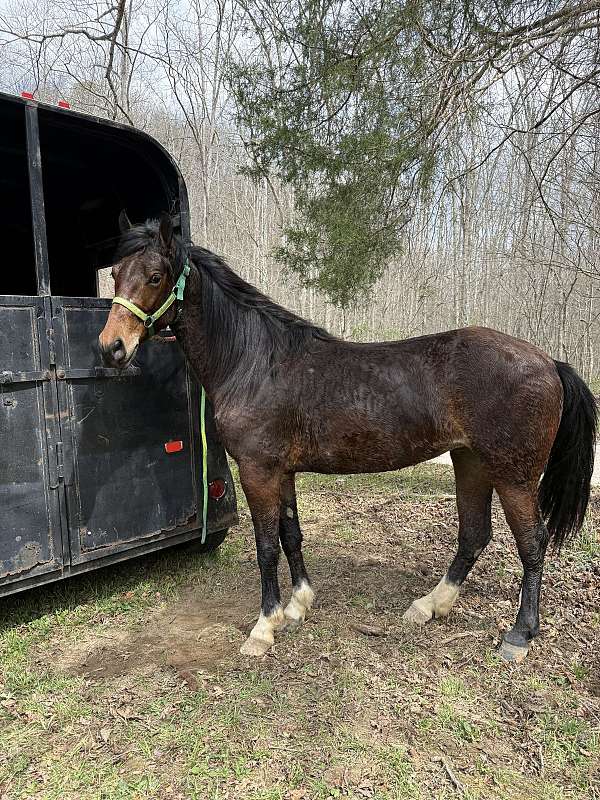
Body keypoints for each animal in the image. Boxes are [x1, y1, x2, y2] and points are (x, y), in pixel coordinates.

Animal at [99, 213, 597, 663]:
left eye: (155, 276)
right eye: (115, 272)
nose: (111, 347)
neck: (254, 362)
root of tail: (549, 362)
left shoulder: (258, 471)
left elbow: (265, 547)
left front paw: (263, 628)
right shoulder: (282, 472)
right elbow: (291, 535)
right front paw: (297, 607)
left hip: (513, 475)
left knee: (532, 544)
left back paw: (520, 634)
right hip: (470, 461)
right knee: (474, 534)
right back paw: (430, 605)